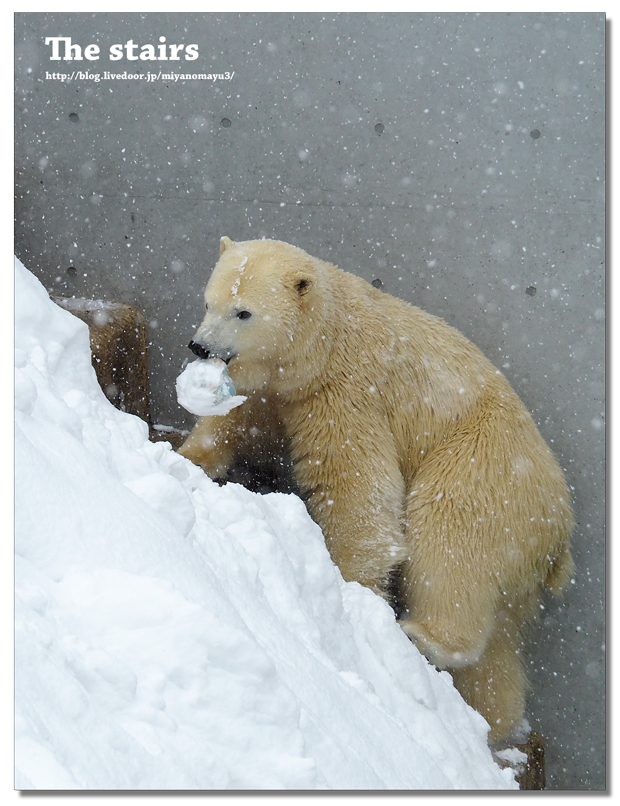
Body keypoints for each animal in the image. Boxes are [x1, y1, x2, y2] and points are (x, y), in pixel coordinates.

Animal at [178, 235, 572, 744]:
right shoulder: (278, 386)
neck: (323, 342)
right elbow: (237, 421)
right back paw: (491, 716)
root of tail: (559, 529)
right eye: (209, 301)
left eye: (243, 312)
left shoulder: (345, 393)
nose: (199, 345)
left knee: (451, 536)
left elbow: (357, 490)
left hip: (486, 468)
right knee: (500, 638)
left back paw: (426, 637)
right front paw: (188, 455)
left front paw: (352, 594)